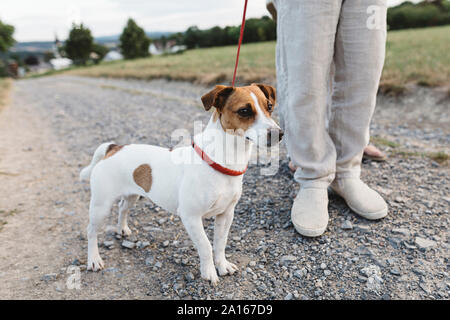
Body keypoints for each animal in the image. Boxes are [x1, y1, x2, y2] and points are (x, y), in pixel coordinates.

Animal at [78, 84, 282, 284]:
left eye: (269, 107)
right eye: (244, 111)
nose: (279, 134)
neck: (223, 160)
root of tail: (114, 148)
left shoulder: (226, 215)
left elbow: (220, 243)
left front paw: (222, 265)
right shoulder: (191, 217)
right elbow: (206, 245)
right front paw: (209, 272)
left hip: (132, 196)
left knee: (122, 209)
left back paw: (122, 229)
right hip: (101, 206)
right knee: (91, 231)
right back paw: (94, 259)